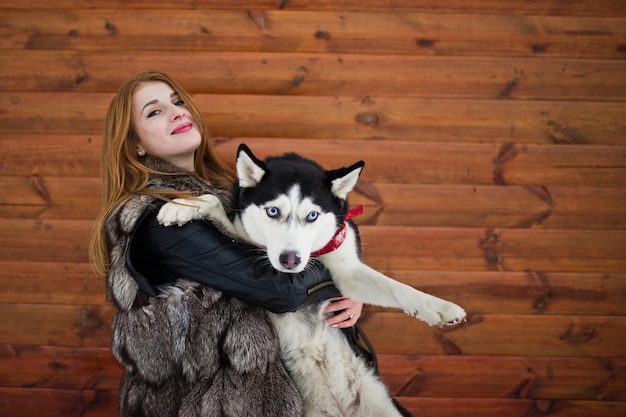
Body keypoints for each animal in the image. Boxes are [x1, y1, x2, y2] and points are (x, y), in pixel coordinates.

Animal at [158, 144, 466, 416]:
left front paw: (439, 308)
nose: (290, 260)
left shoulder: (346, 269)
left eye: (313, 215)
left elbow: (395, 287)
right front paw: (182, 206)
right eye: (273, 211)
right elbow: (214, 203)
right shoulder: (252, 244)